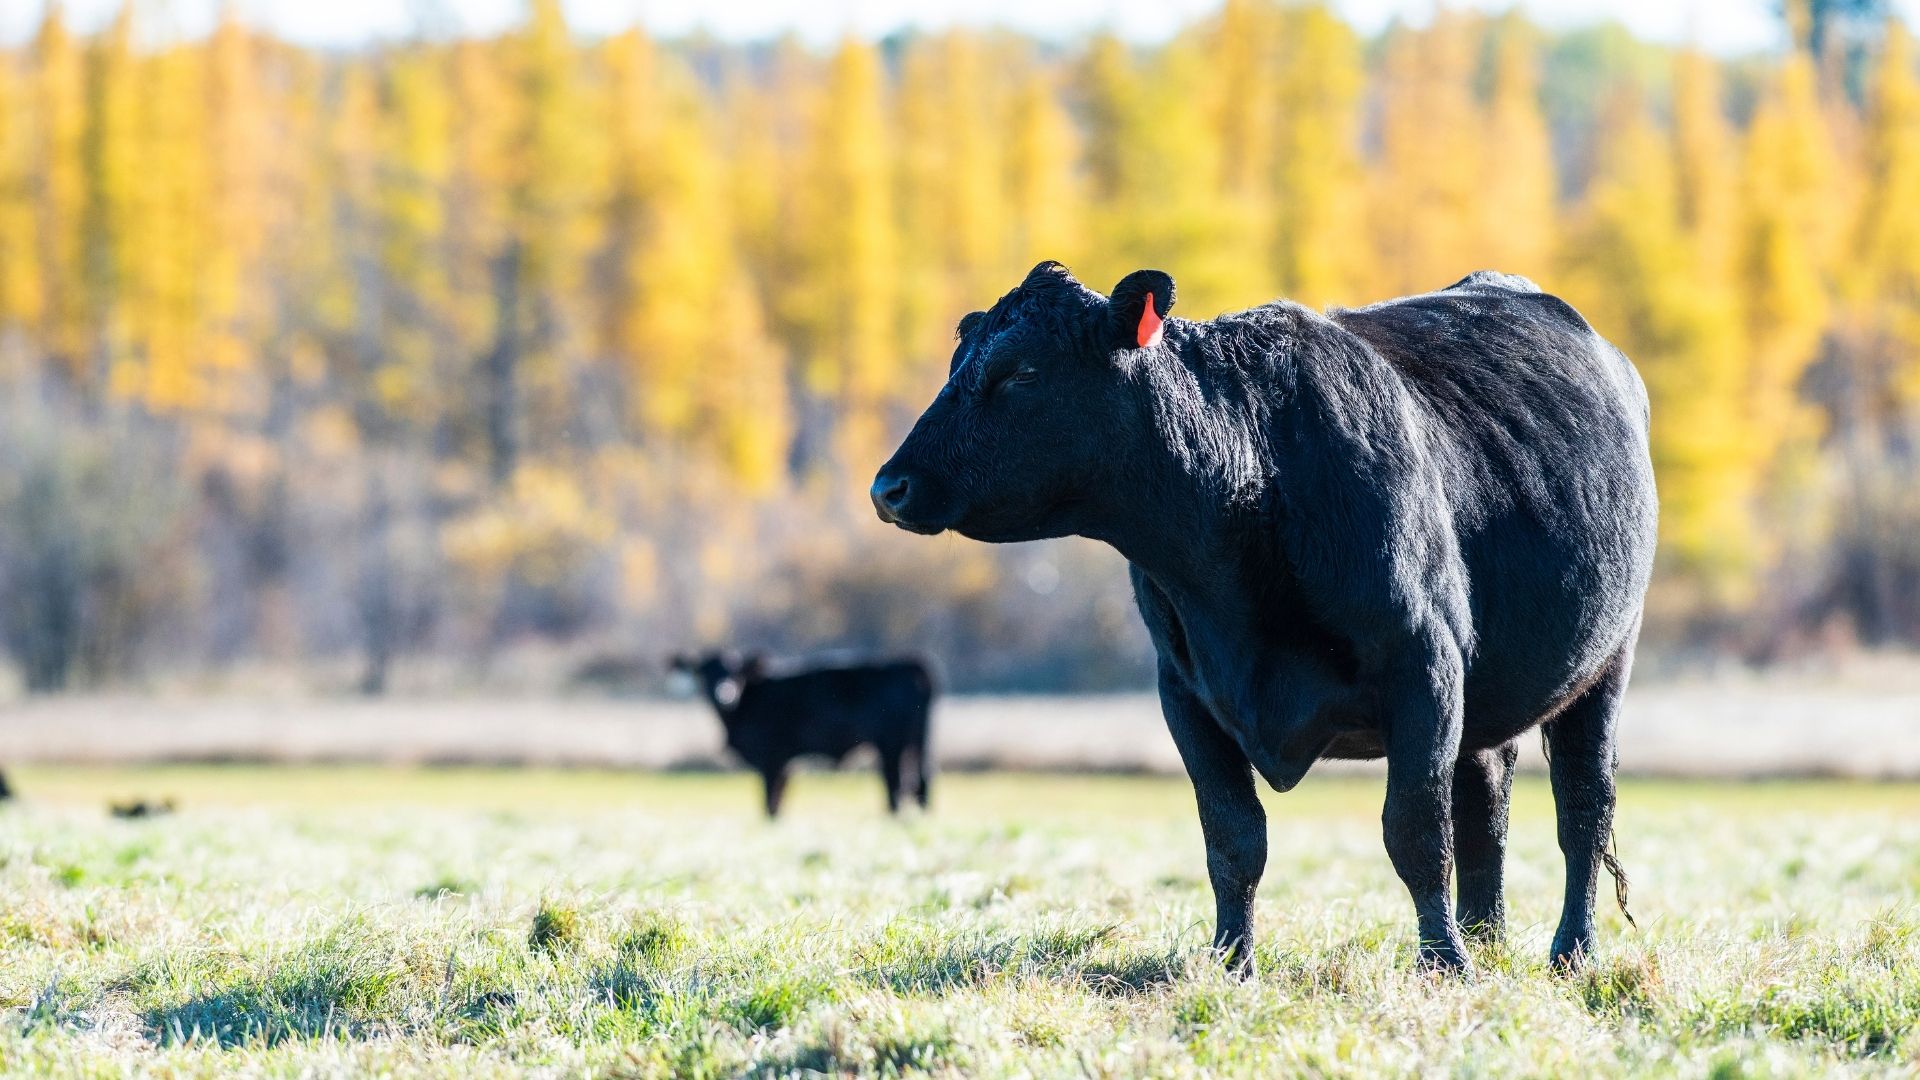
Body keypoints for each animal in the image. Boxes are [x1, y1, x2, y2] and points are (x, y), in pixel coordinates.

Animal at [670, 652, 935, 818]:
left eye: (735, 672)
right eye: (703, 672)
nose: (724, 693)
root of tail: (910, 662)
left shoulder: (772, 758)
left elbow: (770, 802)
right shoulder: (786, 762)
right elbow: (777, 800)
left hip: (892, 745)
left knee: (897, 784)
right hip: (917, 745)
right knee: (920, 781)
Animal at [871, 262, 1657, 975]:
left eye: (1021, 373)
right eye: (959, 365)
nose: (889, 486)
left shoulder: (1424, 666)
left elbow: (1413, 831)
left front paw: (1443, 966)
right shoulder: (1186, 691)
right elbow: (1234, 838)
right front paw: (1231, 963)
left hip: (1606, 663)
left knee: (1583, 809)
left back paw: (1568, 953)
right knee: (1486, 803)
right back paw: (1487, 940)